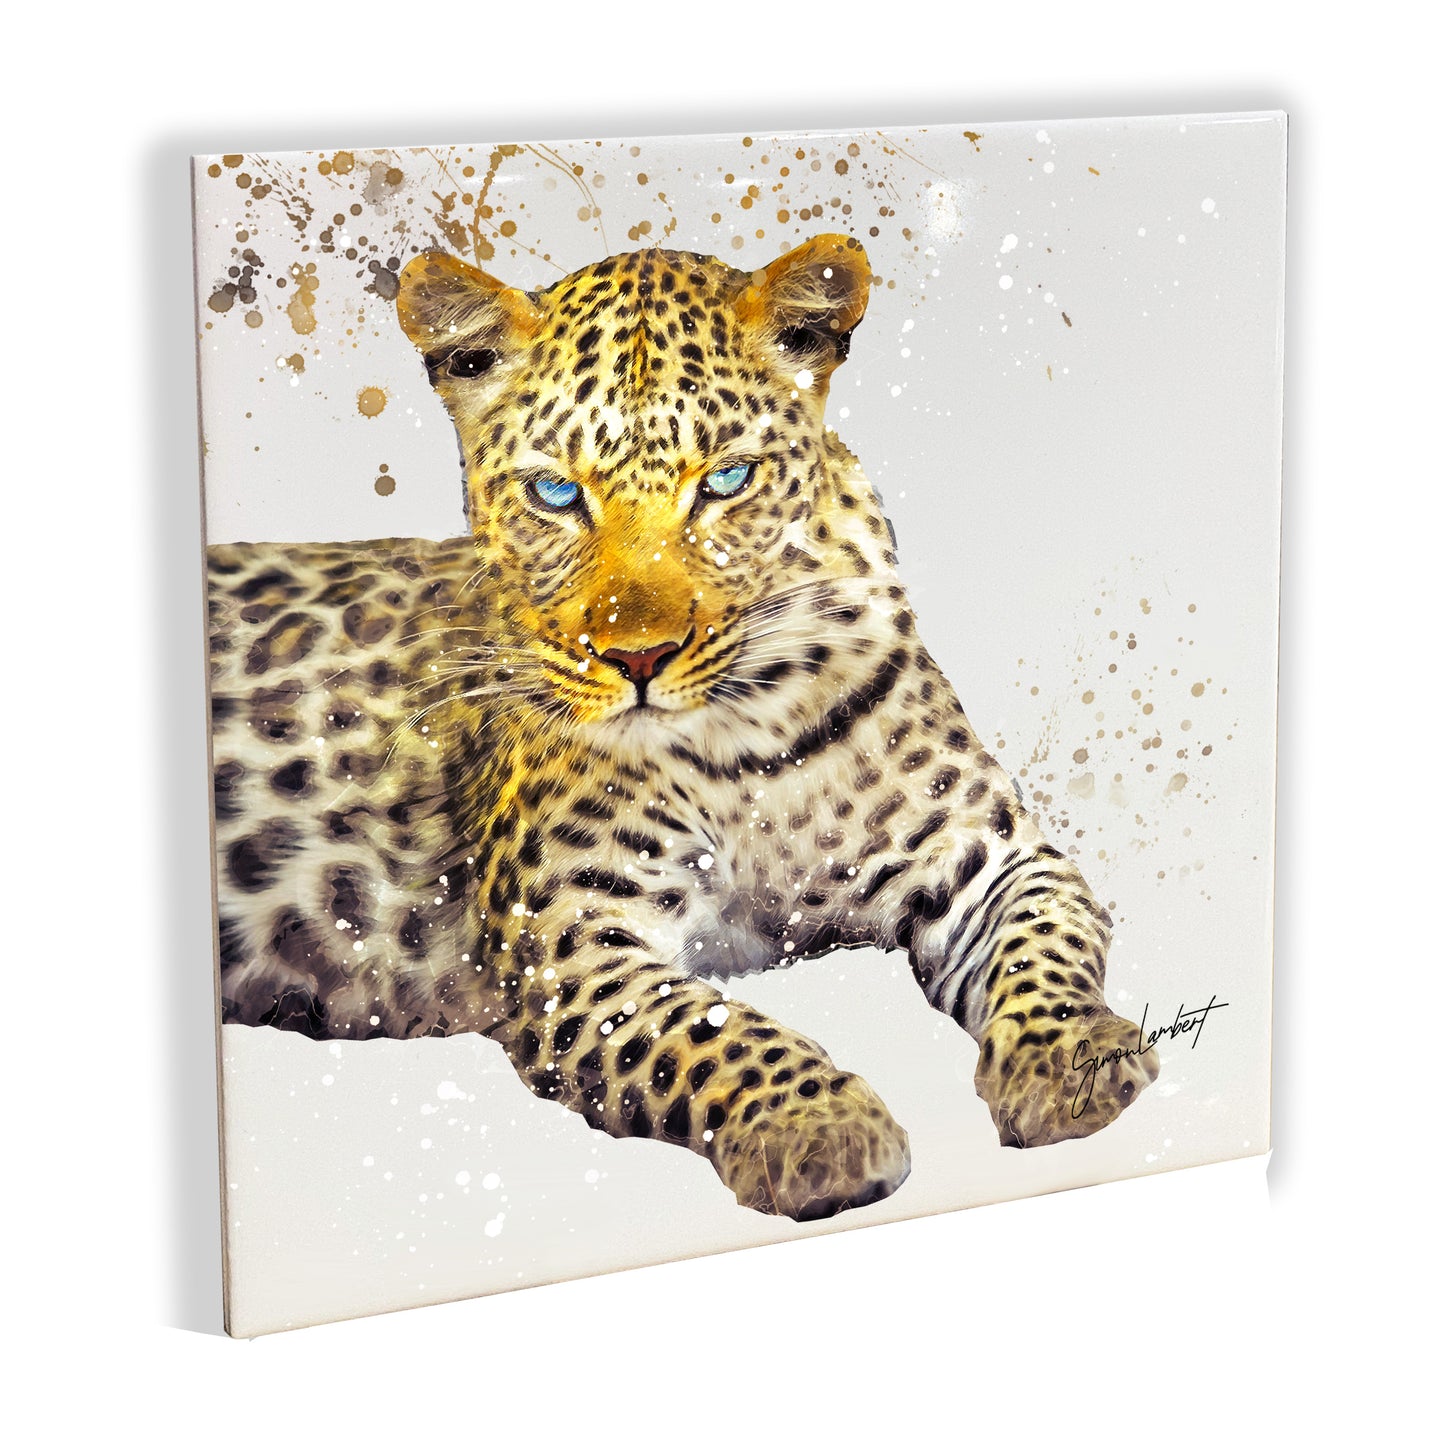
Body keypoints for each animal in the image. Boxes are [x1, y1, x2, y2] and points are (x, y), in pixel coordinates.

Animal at [207, 233, 1159, 1223]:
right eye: (556, 493)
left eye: (726, 482)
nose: (640, 659)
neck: (750, 737)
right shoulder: (571, 943)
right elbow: (706, 1028)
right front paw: (817, 1125)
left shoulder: (989, 855)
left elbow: (1042, 947)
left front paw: (1070, 1061)